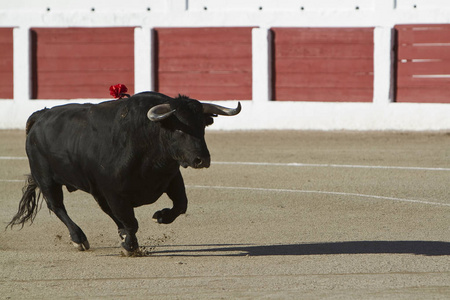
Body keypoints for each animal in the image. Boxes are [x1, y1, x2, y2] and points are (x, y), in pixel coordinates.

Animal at [5, 92, 241, 253]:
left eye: (203, 126)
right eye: (179, 128)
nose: (202, 160)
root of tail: (41, 115)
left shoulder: (172, 178)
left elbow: (181, 204)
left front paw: (160, 217)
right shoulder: (113, 191)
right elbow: (130, 220)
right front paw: (130, 247)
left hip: (93, 188)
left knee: (105, 211)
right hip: (46, 179)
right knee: (57, 206)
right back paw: (79, 238)